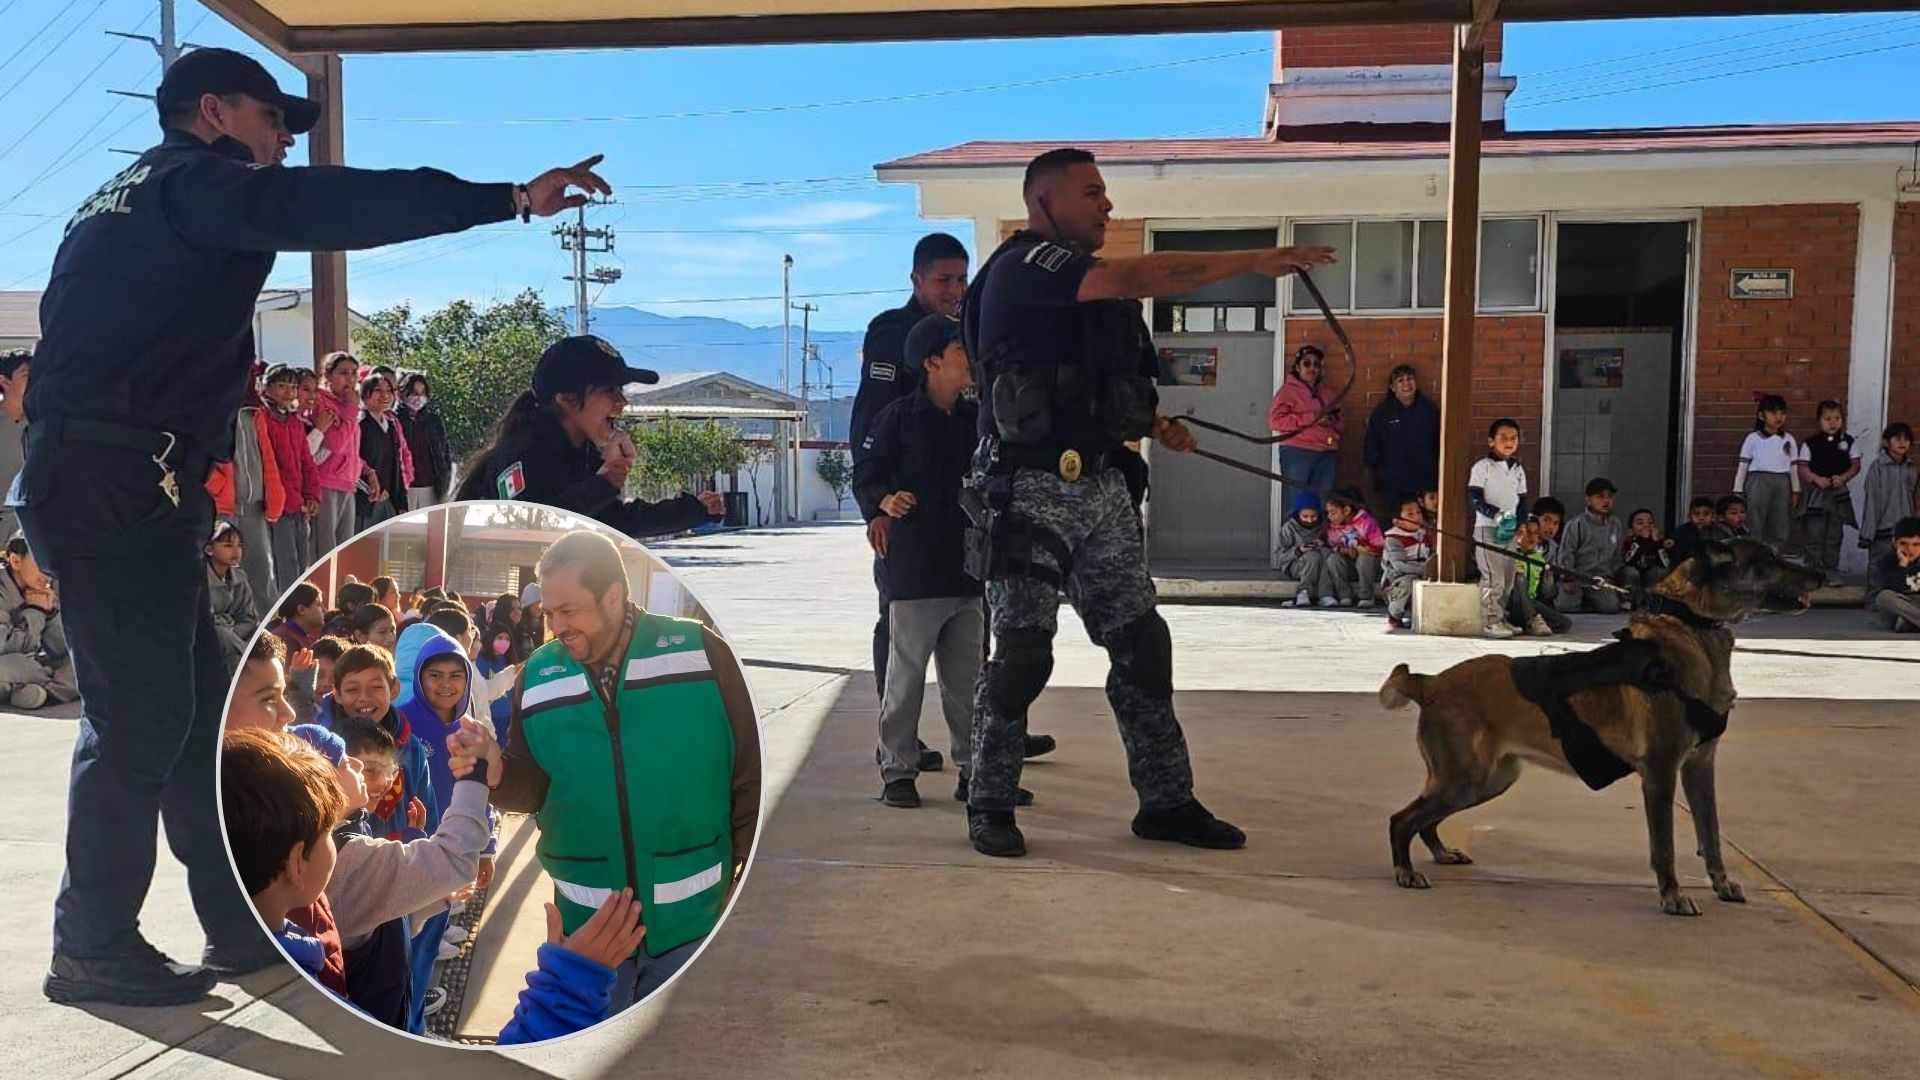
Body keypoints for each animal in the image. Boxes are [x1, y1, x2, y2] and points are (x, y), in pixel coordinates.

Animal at [1382, 538, 1812, 907]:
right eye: (1768, 561)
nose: (1820, 574)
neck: (1692, 627)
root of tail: (1430, 681)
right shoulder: (1661, 771)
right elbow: (1665, 846)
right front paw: (1672, 895)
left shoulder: (1699, 767)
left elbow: (1712, 832)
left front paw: (1721, 884)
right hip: (1466, 778)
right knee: (1401, 819)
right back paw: (1404, 870)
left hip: (1487, 780)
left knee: (1425, 820)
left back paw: (1439, 853)